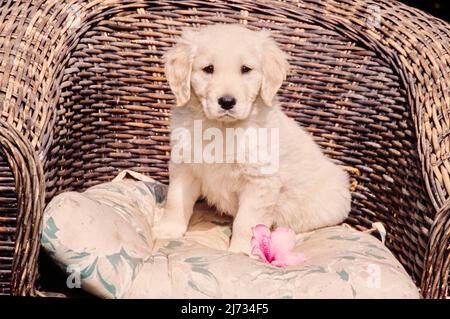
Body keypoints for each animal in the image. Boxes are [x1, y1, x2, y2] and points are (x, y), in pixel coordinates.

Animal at [152, 24, 352, 255]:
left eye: (245, 69)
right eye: (208, 69)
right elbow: (176, 200)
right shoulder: (185, 166)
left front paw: (241, 252)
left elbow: (246, 222)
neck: (222, 128)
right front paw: (167, 230)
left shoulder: (259, 182)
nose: (227, 102)